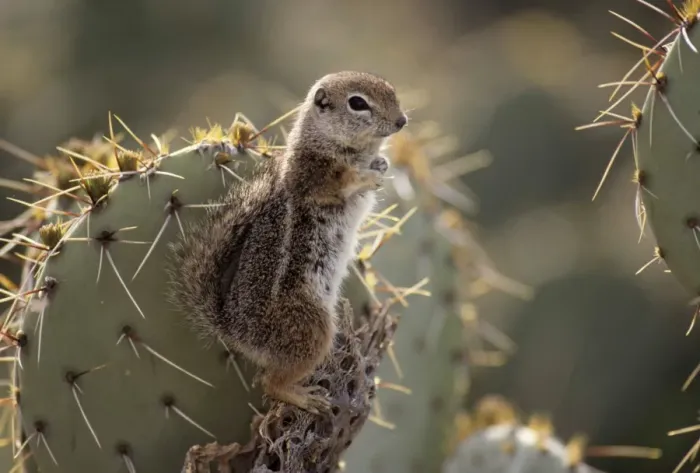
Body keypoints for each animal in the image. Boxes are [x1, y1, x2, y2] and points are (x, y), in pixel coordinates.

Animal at [168, 71, 408, 413]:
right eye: (358, 103)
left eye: (391, 90)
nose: (402, 121)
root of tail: (234, 331)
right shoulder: (312, 175)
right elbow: (339, 181)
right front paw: (365, 175)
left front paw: (382, 164)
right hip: (311, 328)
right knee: (269, 383)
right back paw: (304, 397)